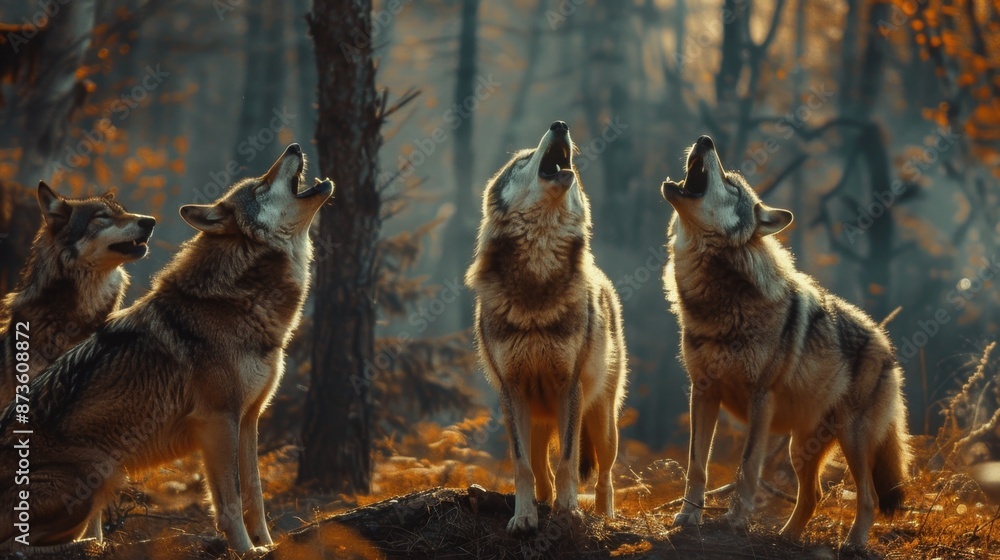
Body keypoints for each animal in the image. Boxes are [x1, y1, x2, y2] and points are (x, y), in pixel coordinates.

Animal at [466, 121, 628, 533]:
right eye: (523, 160)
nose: (560, 125)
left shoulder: (569, 388)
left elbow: (569, 460)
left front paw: (569, 511)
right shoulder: (511, 392)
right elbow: (522, 467)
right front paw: (524, 517)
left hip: (603, 423)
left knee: (605, 477)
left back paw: (604, 516)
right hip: (537, 420)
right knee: (541, 470)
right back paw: (542, 503)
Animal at [662, 135, 911, 547]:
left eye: (731, 184)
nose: (705, 139)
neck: (719, 298)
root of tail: (886, 343)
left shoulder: (761, 398)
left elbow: (747, 466)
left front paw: (735, 522)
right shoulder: (702, 391)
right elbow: (697, 465)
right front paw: (688, 517)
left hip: (854, 439)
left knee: (870, 496)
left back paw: (853, 544)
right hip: (802, 447)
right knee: (814, 496)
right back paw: (786, 537)